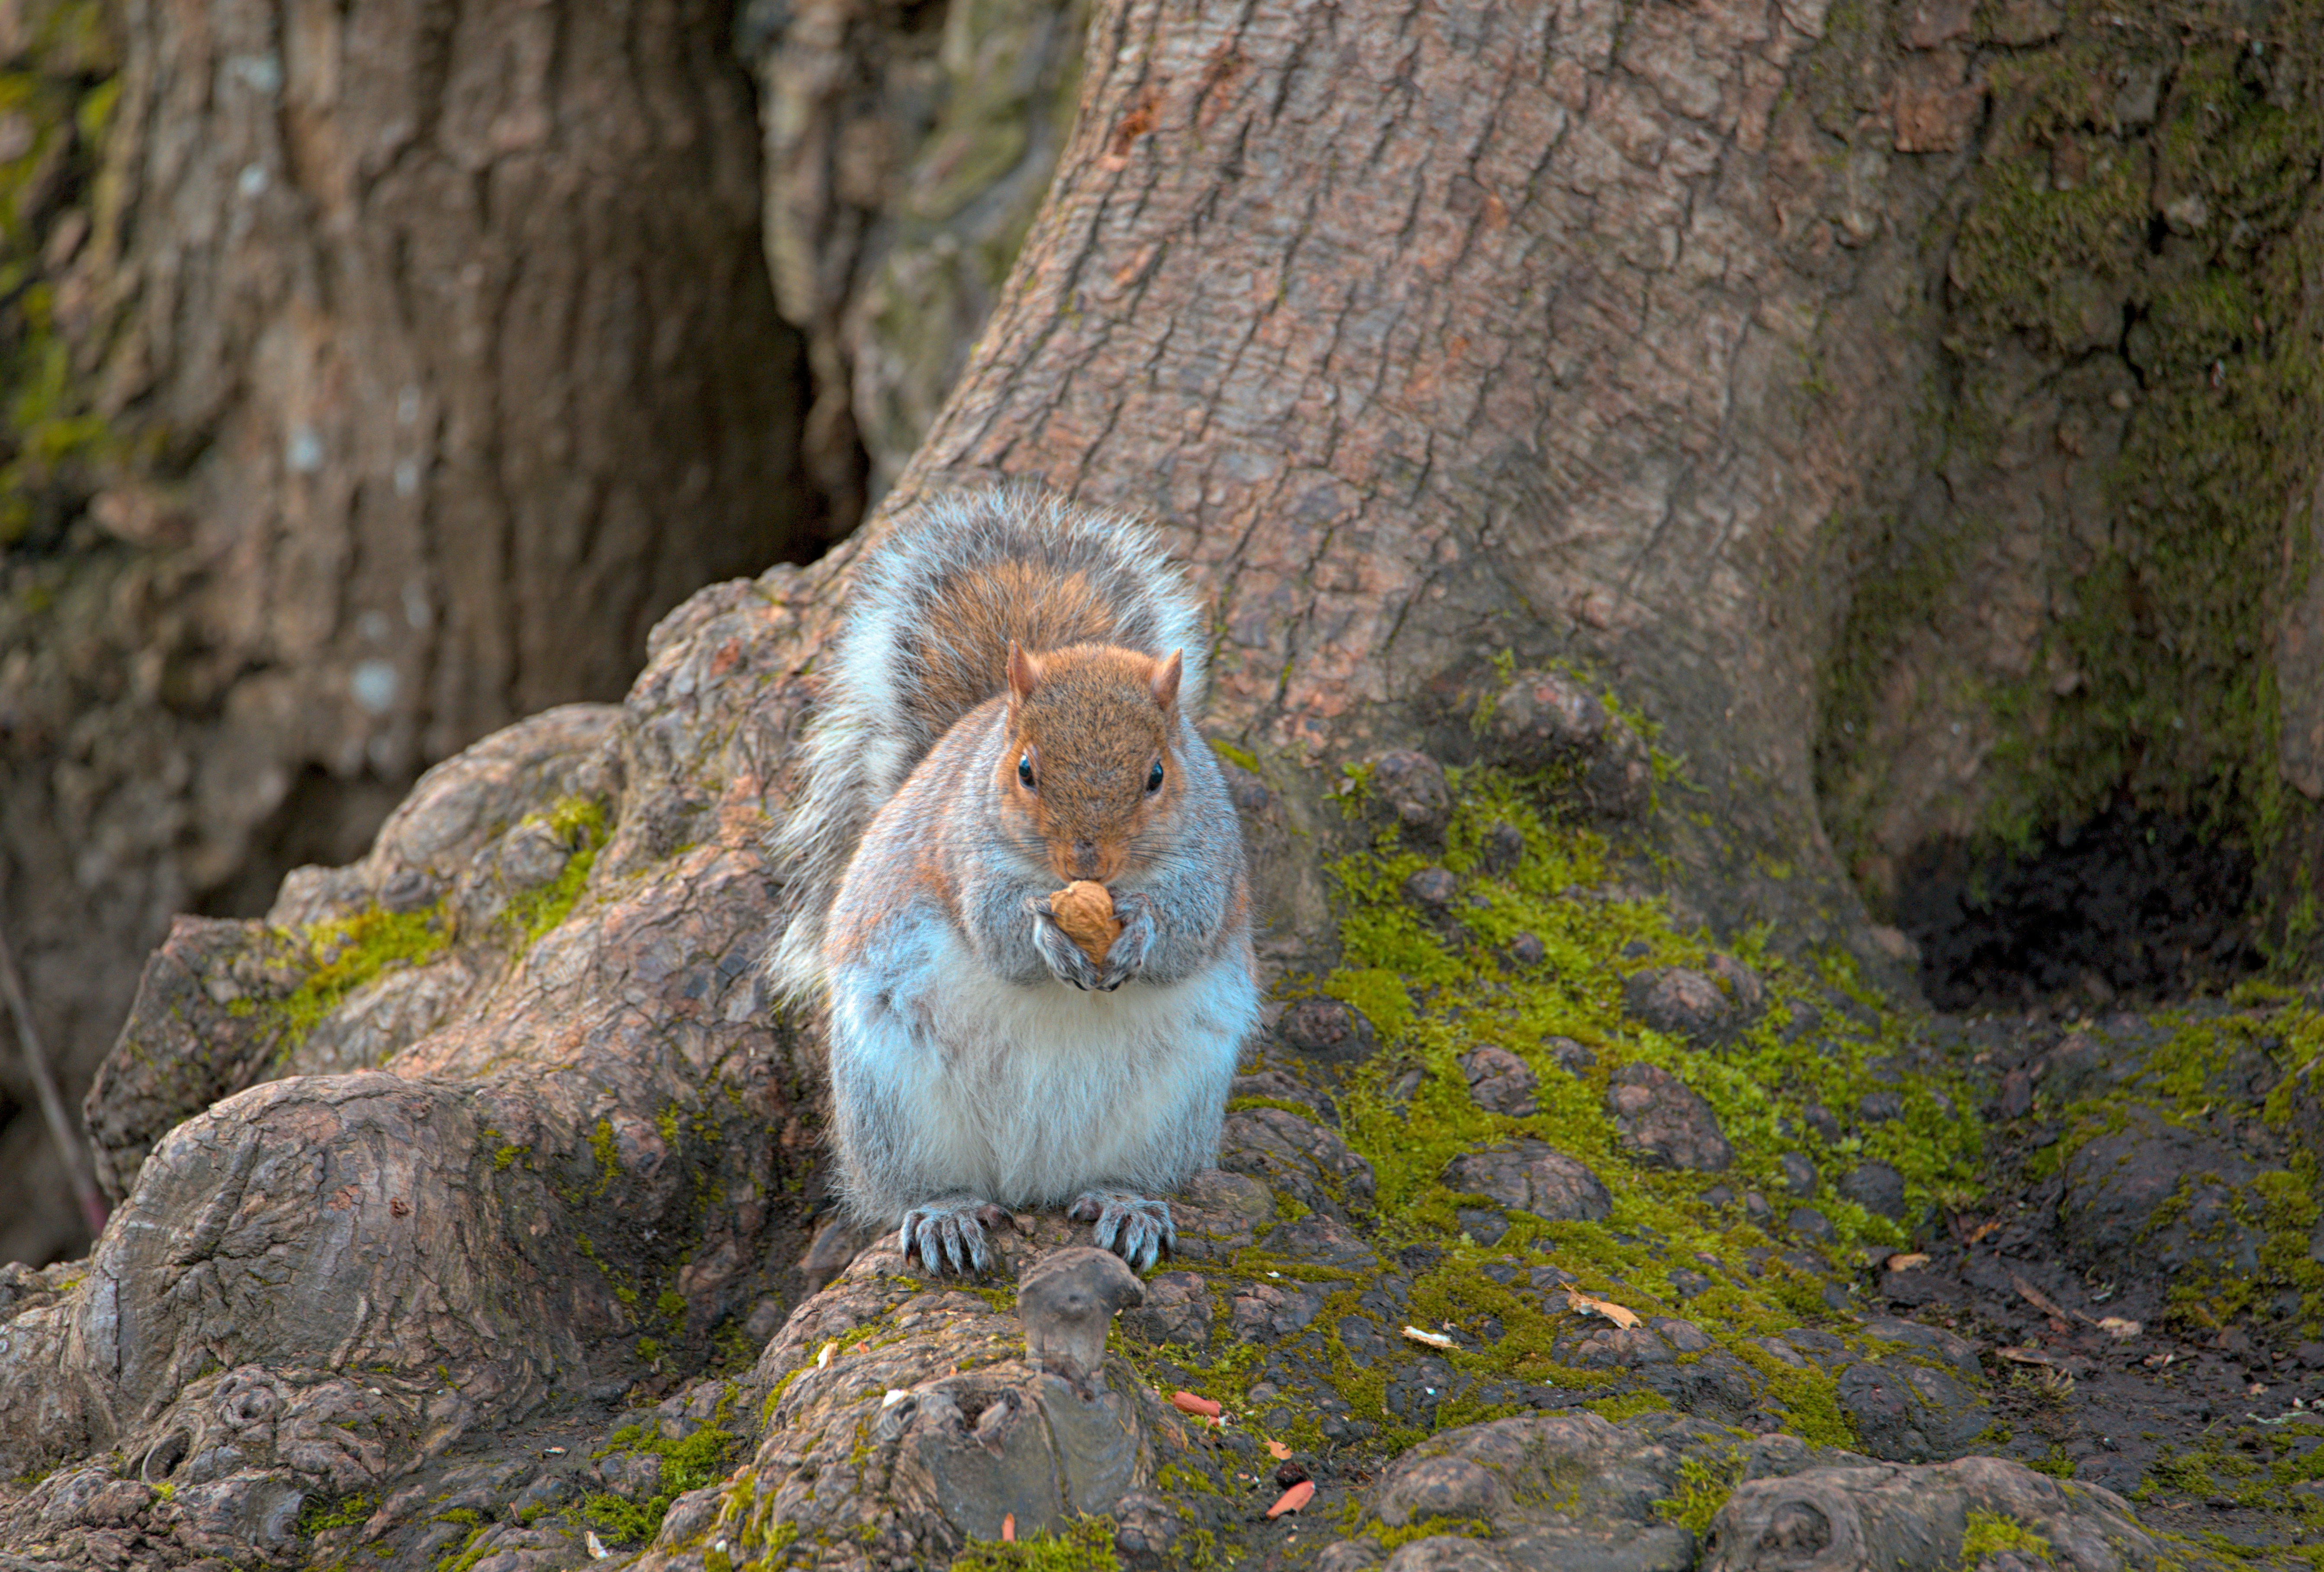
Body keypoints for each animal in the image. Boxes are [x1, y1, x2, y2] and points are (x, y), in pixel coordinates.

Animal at [769, 487, 1261, 1276]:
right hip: (893, 1104)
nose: (1087, 860)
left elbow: (1188, 932)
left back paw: (1126, 1203)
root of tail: (1032, 1179)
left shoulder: (1212, 863)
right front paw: (1045, 935)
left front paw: (1141, 928)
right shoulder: (963, 854)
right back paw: (948, 1212)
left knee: (1121, 1173)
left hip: (1169, 1114)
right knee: (918, 1184)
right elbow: (996, 935)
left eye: (1157, 775)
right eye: (1026, 770)